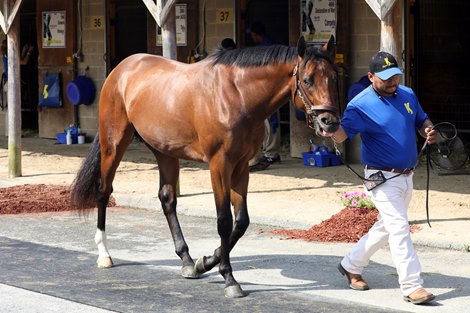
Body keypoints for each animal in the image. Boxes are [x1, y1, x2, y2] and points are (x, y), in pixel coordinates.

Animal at [70, 35, 338, 296]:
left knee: (167, 199)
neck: (237, 96)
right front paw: (229, 278)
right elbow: (224, 221)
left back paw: (187, 260)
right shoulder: (219, 165)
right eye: (307, 80)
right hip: (114, 144)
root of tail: (122, 69)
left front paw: (205, 261)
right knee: (103, 191)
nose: (330, 122)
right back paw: (104, 254)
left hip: (165, 151)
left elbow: (241, 222)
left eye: (334, 76)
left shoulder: (241, 166)